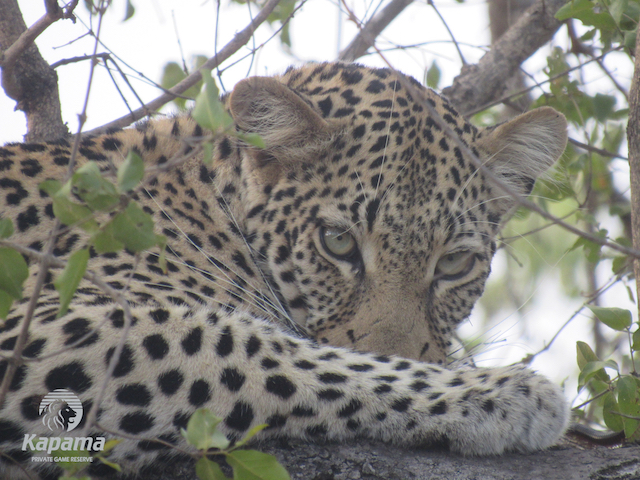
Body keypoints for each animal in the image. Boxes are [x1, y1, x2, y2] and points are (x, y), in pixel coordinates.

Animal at [0, 61, 570, 479]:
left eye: (454, 262)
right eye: (338, 243)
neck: (204, 202)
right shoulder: (46, 323)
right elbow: (266, 349)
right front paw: (504, 394)